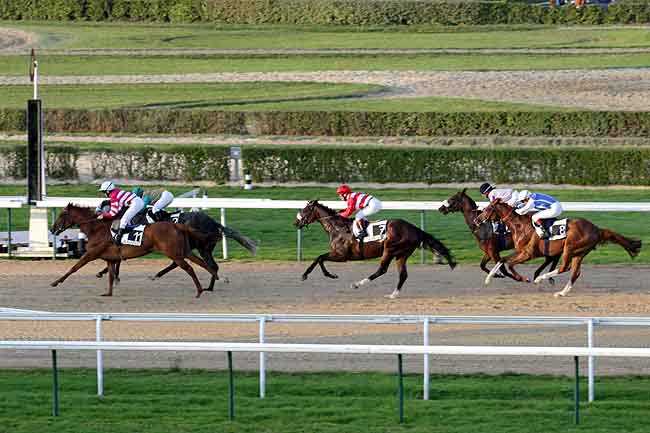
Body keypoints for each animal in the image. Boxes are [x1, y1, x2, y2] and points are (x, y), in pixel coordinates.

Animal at [48, 203, 220, 296]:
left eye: (62, 214)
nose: (52, 229)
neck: (96, 229)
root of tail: (177, 225)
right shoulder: (110, 258)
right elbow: (111, 275)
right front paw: (108, 293)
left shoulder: (91, 253)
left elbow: (74, 267)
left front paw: (55, 282)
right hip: (184, 251)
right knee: (204, 264)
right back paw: (214, 280)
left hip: (175, 253)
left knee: (190, 268)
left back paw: (200, 290)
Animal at [294, 199, 456, 296]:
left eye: (305, 210)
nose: (296, 223)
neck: (337, 228)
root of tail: (415, 228)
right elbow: (320, 258)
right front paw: (329, 275)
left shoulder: (341, 255)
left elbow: (319, 257)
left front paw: (308, 275)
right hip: (402, 254)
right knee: (403, 274)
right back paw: (393, 294)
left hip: (389, 250)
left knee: (382, 270)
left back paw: (358, 284)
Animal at [474, 200, 640, 296]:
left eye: (488, 208)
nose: (477, 220)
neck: (520, 225)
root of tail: (597, 229)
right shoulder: (521, 251)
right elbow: (502, 259)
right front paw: (489, 278)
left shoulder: (528, 254)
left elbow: (510, 263)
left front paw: (524, 278)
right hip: (579, 253)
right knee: (575, 272)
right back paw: (562, 292)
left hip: (570, 247)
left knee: (565, 267)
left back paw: (540, 279)